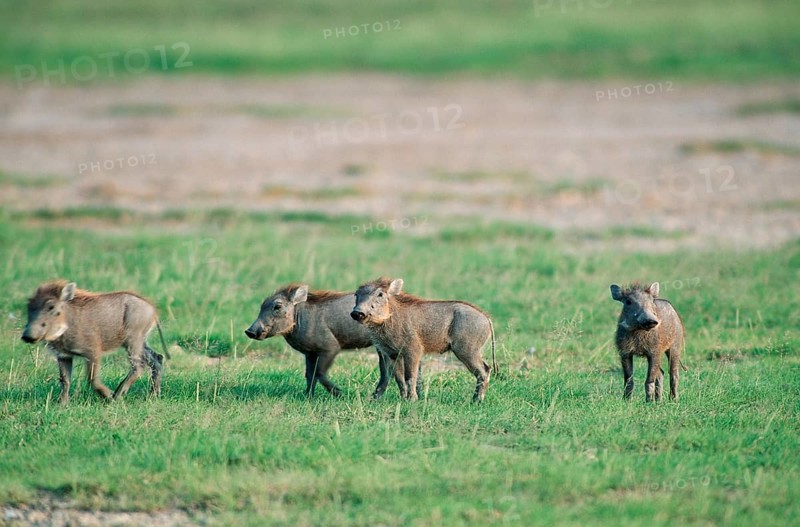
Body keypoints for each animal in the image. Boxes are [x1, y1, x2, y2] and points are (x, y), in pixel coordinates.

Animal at [21, 280, 166, 404]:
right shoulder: (64, 355)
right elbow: (65, 380)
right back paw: (153, 396)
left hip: (133, 340)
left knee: (139, 366)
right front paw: (61, 405)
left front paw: (109, 398)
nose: (27, 336)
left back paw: (118, 395)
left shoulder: (93, 352)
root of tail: (152, 309)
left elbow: (92, 379)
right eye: (29, 305)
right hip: (138, 342)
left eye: (51, 306)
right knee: (157, 358)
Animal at [245, 283, 421, 399]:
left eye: (277, 306)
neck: (298, 317)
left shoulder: (330, 348)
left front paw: (339, 394)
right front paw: (308, 397)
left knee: (388, 371)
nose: (249, 331)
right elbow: (310, 374)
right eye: (262, 305)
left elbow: (320, 373)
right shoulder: (310, 353)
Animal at [351, 277, 497, 402]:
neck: (388, 319)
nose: (357, 313)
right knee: (486, 369)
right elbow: (395, 377)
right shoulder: (390, 353)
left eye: (380, 294)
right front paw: (397, 399)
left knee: (484, 371)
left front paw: (412, 400)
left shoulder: (412, 350)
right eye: (356, 294)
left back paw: (476, 401)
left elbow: (410, 376)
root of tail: (486, 317)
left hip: (467, 350)